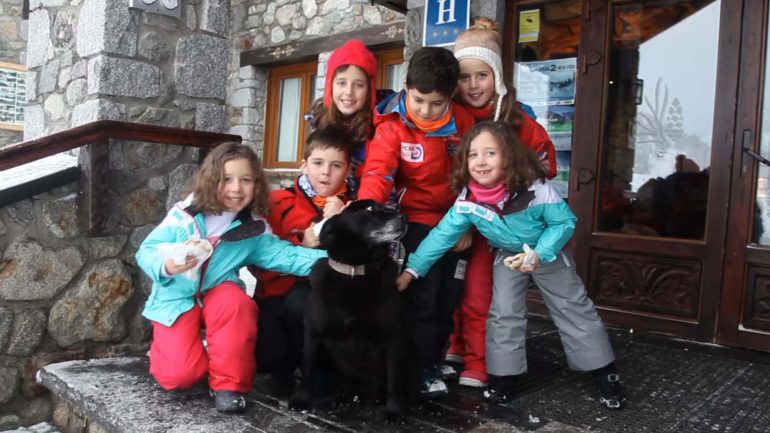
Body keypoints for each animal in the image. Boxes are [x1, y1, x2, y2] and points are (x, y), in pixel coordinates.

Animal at [292, 200, 414, 422]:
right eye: (369, 209)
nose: (405, 217)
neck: (354, 271)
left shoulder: (393, 338)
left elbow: (394, 380)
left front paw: (394, 411)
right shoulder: (313, 333)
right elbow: (307, 367)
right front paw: (301, 400)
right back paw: (344, 395)